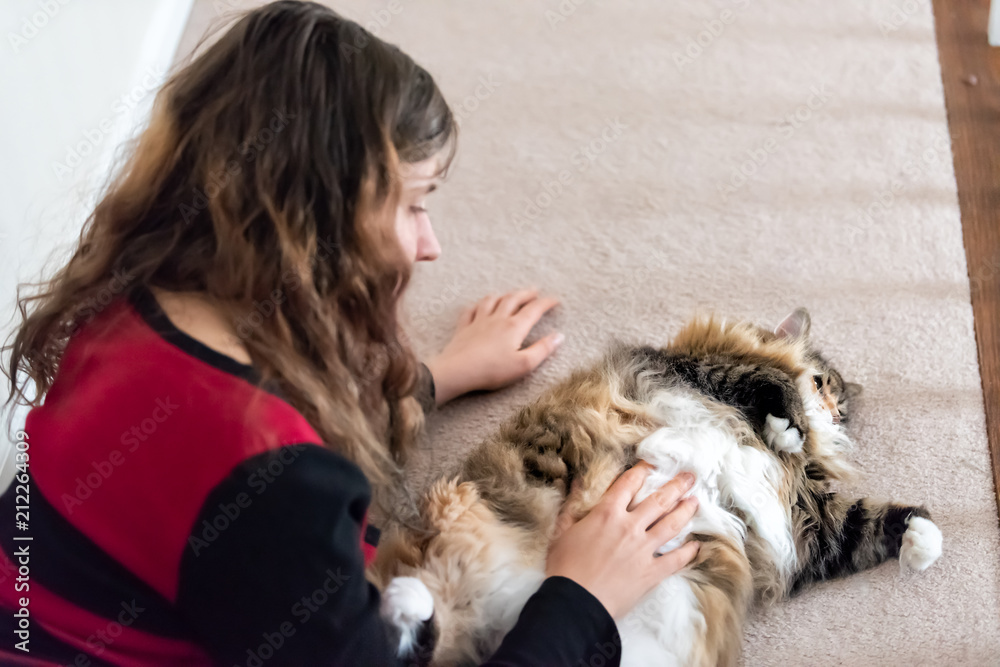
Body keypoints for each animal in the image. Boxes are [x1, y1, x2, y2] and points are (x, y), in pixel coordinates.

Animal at [376, 312, 944, 667]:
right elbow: (772, 383)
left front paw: (924, 541)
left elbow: (867, 523)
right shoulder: (708, 368)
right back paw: (405, 600)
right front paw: (789, 426)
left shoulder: (805, 523)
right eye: (824, 383)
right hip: (460, 515)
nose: (831, 413)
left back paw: (406, 604)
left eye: (842, 408)